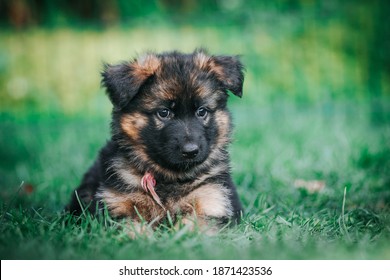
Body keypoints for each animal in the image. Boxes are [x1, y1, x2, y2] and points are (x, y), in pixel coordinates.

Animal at [66, 49, 244, 233]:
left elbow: (191, 227)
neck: (170, 176)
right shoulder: (117, 207)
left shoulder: (211, 200)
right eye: (163, 112)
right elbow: (132, 229)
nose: (191, 151)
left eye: (202, 111)